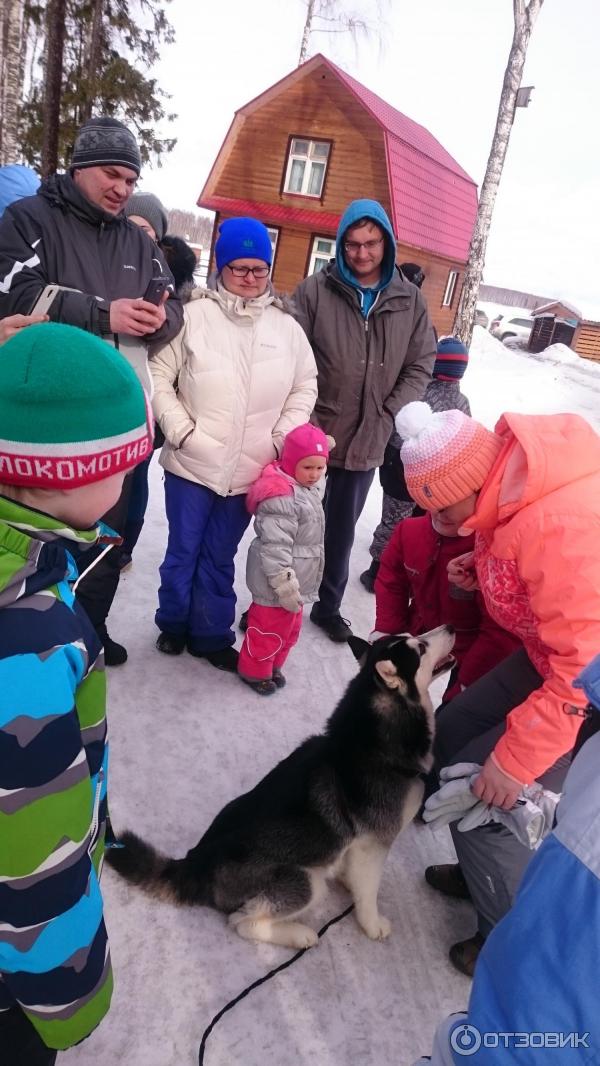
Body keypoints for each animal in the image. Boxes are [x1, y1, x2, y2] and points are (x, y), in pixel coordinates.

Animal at [108, 622, 456, 950]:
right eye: (421, 648)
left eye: (416, 637)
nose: (452, 627)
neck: (374, 742)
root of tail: (198, 861)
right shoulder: (375, 842)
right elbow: (369, 892)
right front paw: (372, 924)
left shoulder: (357, 844)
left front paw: (348, 881)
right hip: (305, 880)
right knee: (242, 921)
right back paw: (299, 934)